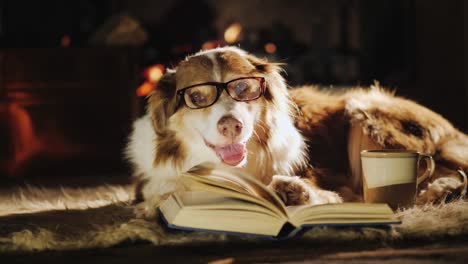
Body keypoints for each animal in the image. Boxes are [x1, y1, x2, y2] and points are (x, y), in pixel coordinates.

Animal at [125, 46, 468, 218]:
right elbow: (164, 191)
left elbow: (329, 193)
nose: (231, 125)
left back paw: (436, 192)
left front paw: (294, 191)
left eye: (243, 88)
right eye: (197, 97)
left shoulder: (329, 177)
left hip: (363, 106)